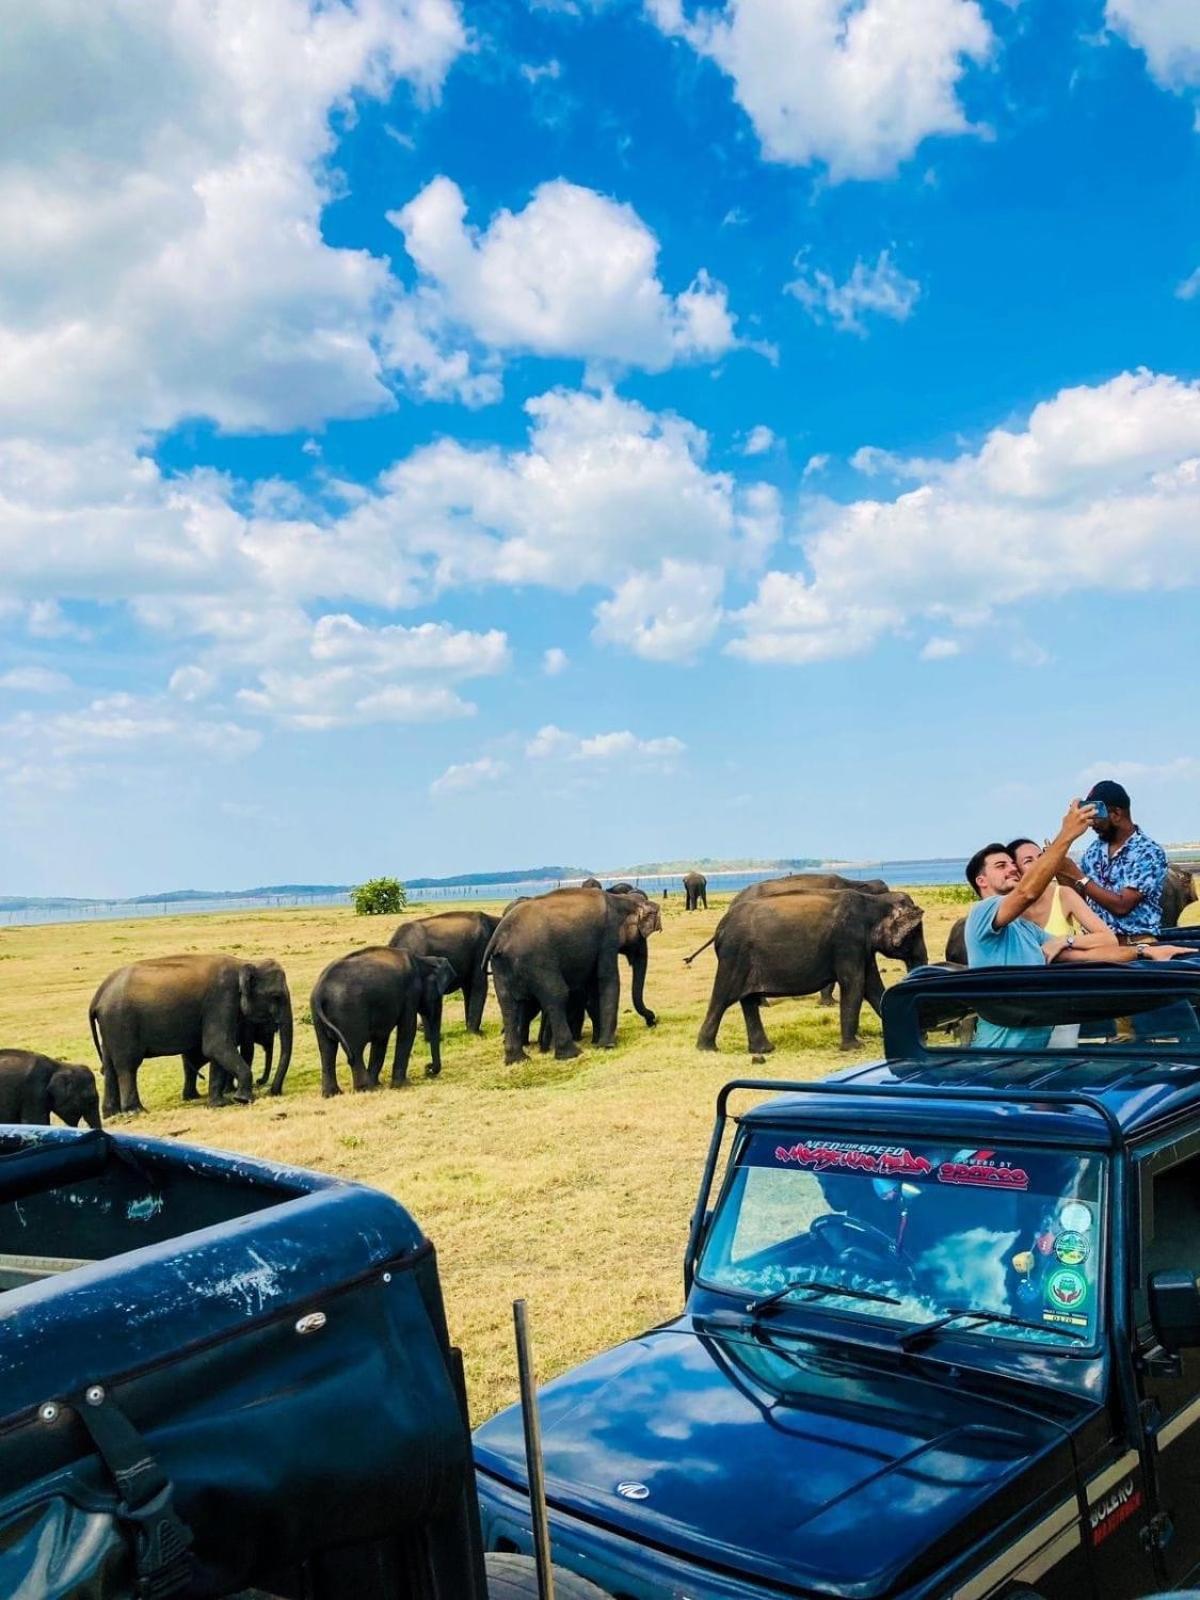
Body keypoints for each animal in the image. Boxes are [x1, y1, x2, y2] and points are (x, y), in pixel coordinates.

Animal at [90, 947, 294, 1113]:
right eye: (276, 996)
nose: (272, 1091)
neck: (245, 962)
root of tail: (98, 996)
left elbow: (216, 1051)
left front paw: (220, 1104)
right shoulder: (221, 999)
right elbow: (216, 1045)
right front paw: (243, 1100)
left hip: (110, 1026)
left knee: (109, 1065)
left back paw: (112, 1113)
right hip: (120, 1022)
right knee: (127, 1065)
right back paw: (136, 1111)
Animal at [486, 889, 668, 1062]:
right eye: (640, 938)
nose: (652, 1020)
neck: (622, 899)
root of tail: (498, 938)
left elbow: (593, 988)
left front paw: (597, 1042)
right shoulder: (607, 937)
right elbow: (607, 979)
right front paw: (607, 1045)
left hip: (500, 965)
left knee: (508, 1004)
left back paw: (517, 1060)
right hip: (538, 960)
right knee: (557, 995)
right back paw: (571, 1054)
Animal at [694, 896, 928, 1056]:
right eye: (914, 933)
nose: (926, 1033)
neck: (875, 902)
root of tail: (719, 929)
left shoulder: (863, 948)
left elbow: (873, 986)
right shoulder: (848, 942)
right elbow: (855, 984)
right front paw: (854, 1047)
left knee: (748, 1000)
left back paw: (764, 1050)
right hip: (734, 957)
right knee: (722, 998)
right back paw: (707, 1049)